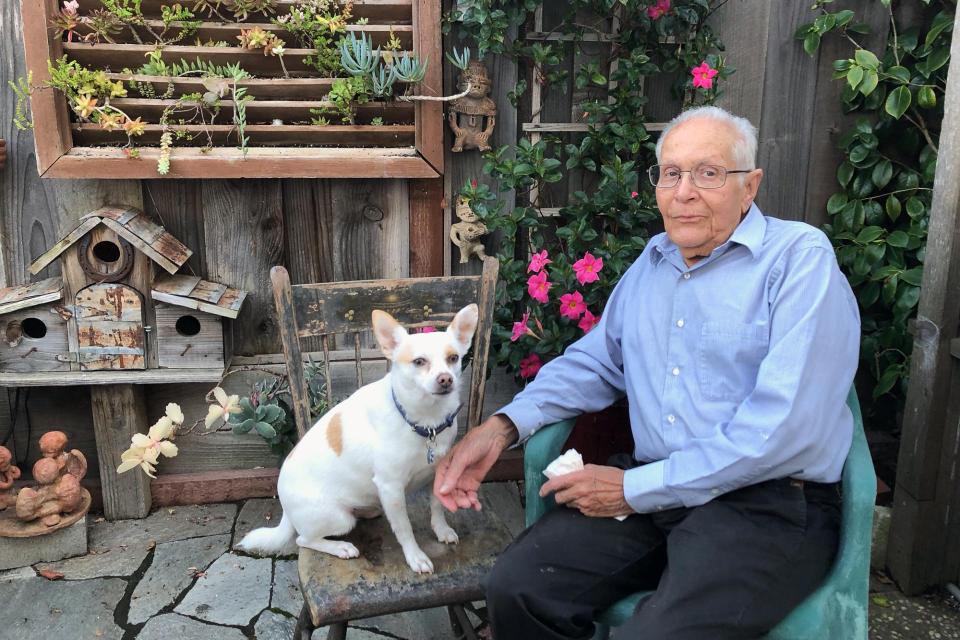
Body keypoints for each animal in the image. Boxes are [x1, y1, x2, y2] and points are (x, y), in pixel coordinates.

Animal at [236, 304, 476, 576]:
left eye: (453, 358)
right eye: (419, 362)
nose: (446, 379)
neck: (425, 422)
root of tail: (285, 508)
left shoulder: (440, 471)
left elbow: (437, 506)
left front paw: (441, 529)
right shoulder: (391, 488)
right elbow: (404, 528)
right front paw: (415, 556)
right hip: (339, 519)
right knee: (303, 540)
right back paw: (340, 547)